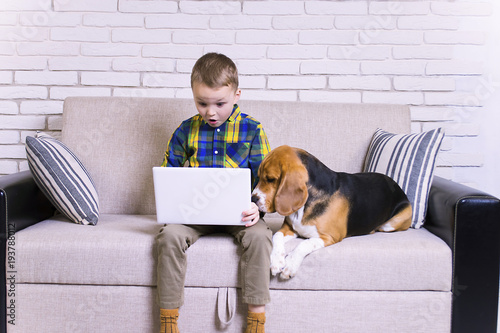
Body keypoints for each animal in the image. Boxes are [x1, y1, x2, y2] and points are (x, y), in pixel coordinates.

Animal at [252, 145, 412, 278]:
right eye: (258, 177)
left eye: (270, 179)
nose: (253, 199)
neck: (306, 204)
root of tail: (395, 184)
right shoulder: (289, 228)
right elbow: (276, 236)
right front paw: (276, 261)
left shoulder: (330, 236)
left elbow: (304, 244)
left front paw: (290, 264)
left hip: (392, 223)